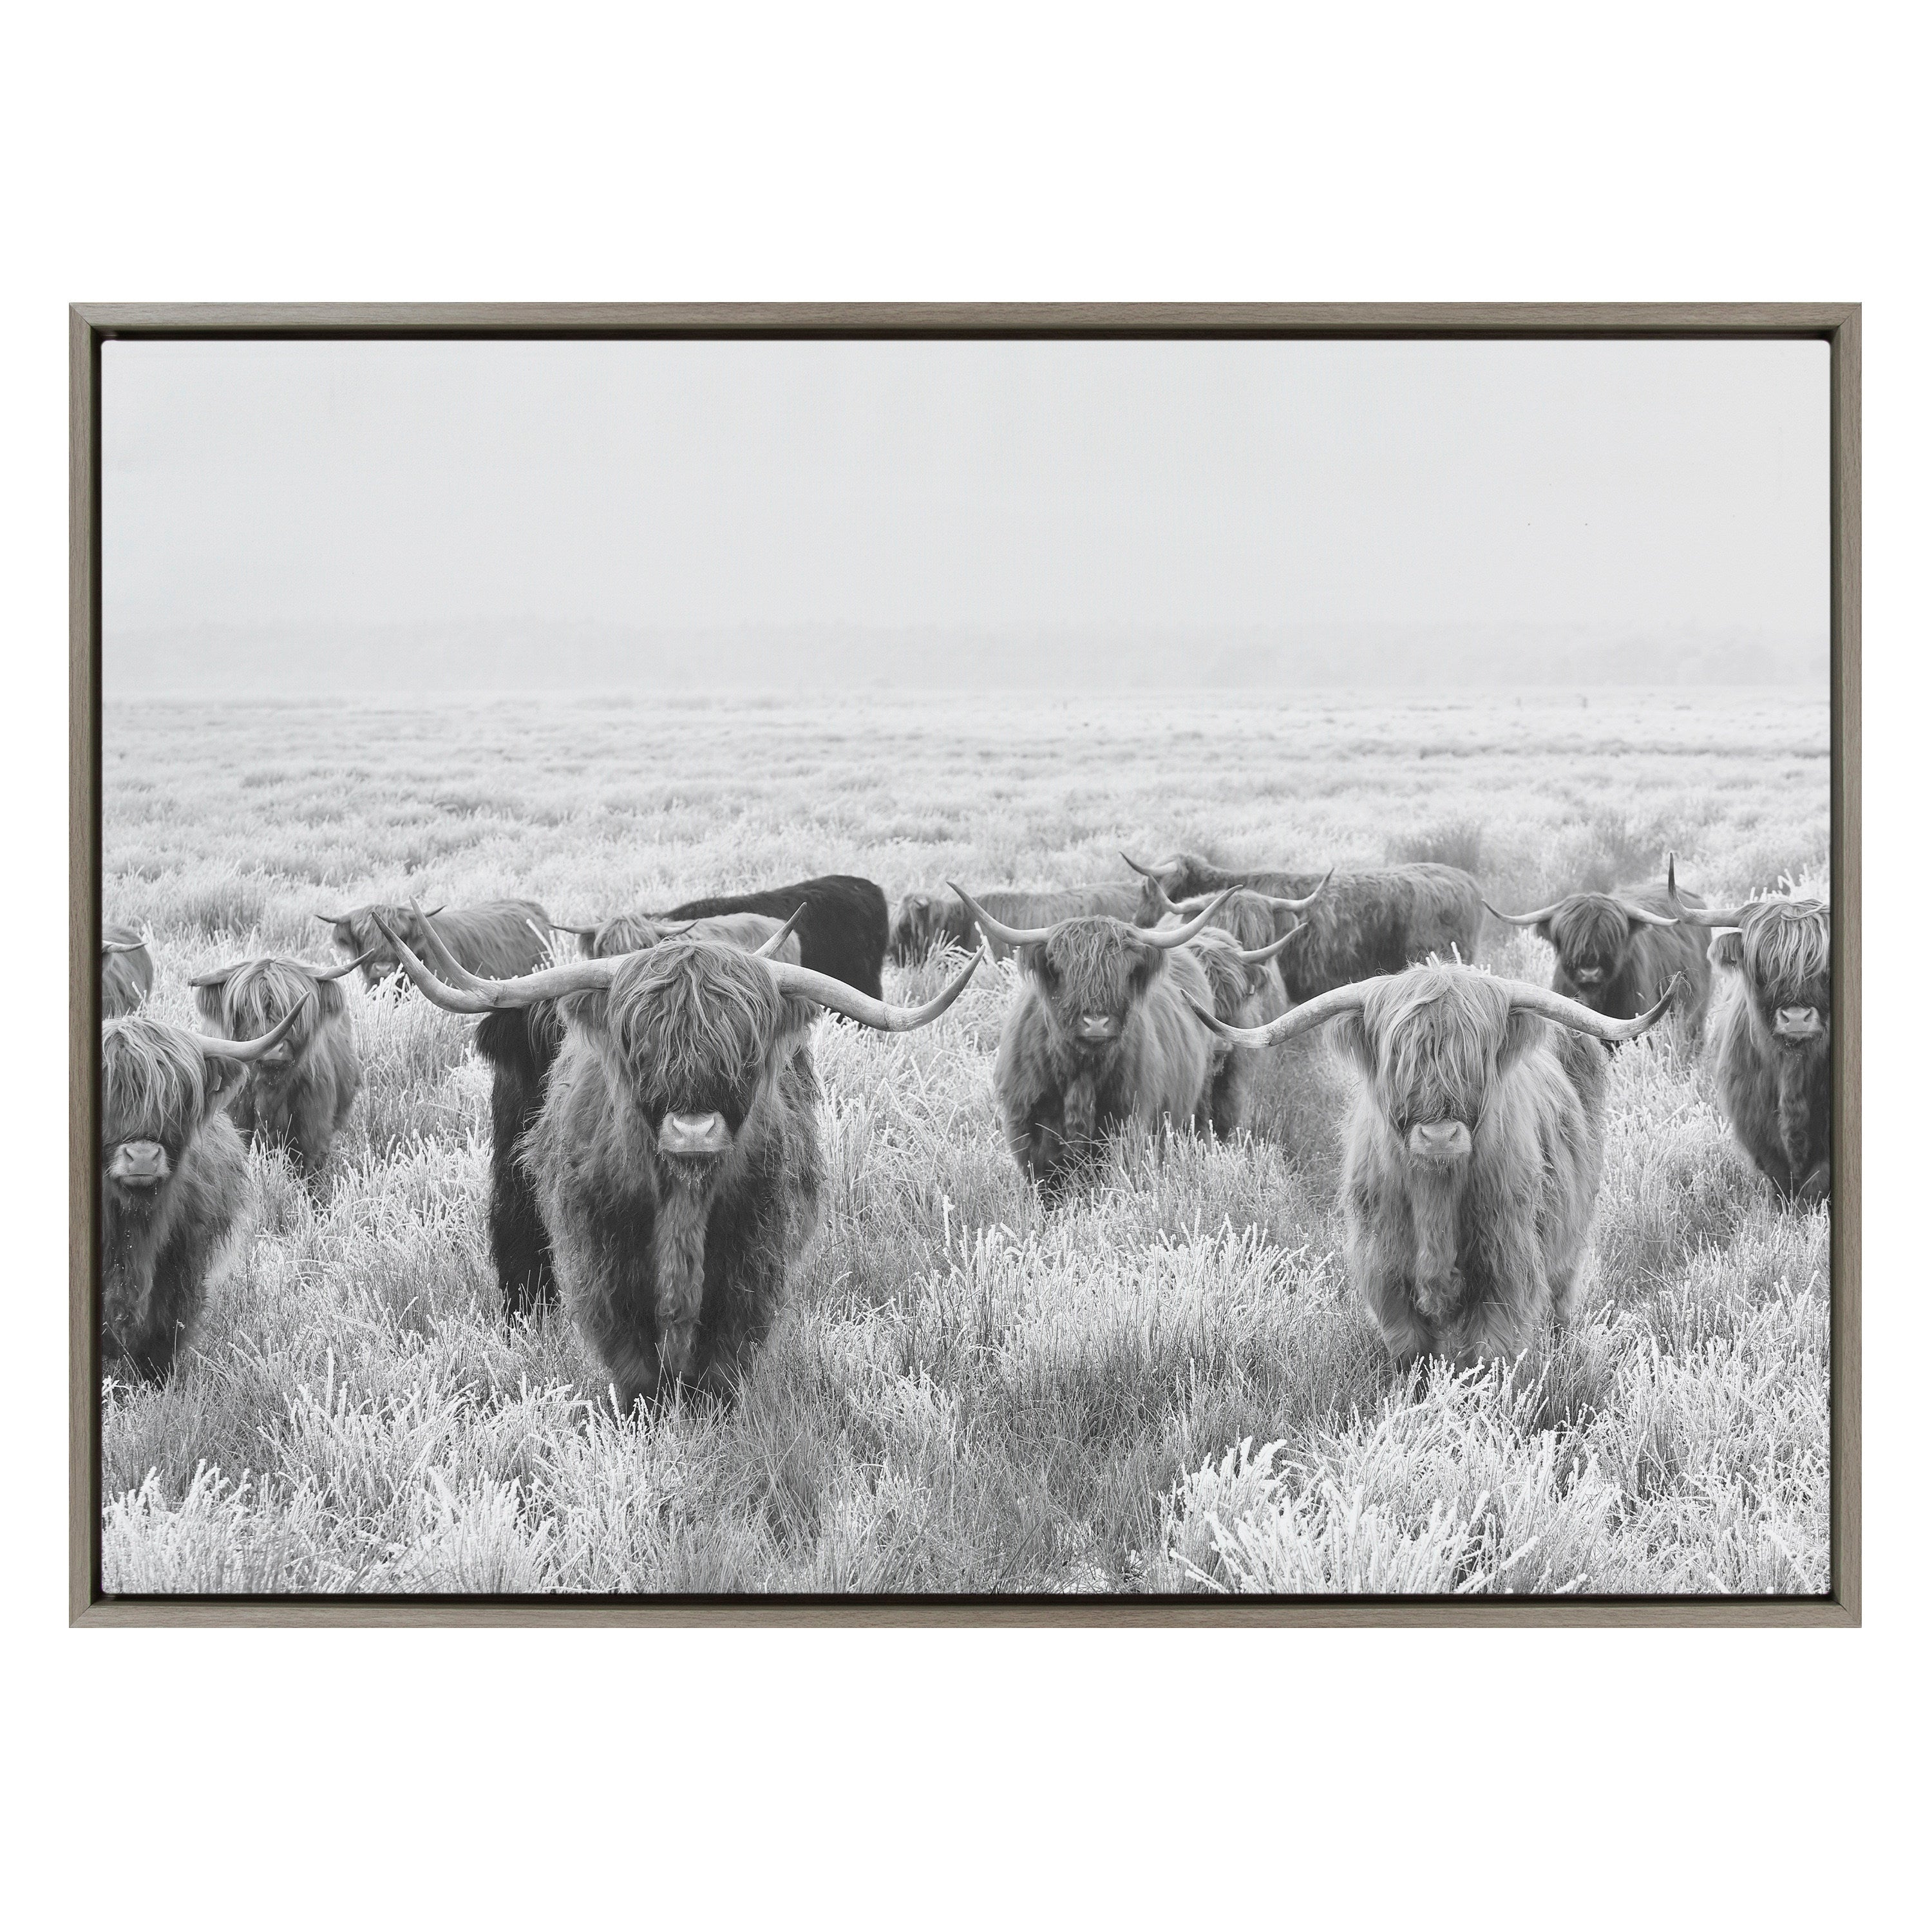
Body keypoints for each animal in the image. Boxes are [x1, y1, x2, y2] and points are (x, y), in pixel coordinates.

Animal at [952, 884, 1236, 1197]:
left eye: (1125, 971)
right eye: (1061, 969)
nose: (1096, 1023)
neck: (1081, 1072)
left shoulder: (1126, 1125)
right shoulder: (1031, 1132)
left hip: (1196, 1105)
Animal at [1194, 964, 1681, 1369]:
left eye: (1477, 1057)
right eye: (1398, 1057)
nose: (1440, 1137)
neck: (1436, 1197)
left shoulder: (1506, 1272)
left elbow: (1488, 1360)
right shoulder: (1387, 1276)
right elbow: (1414, 1358)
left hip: (1569, 1244)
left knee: (1561, 1304)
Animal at [1669, 872, 1831, 1205]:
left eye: (1822, 965)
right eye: (1763, 965)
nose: (1796, 1018)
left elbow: (1815, 1185)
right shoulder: (1756, 1130)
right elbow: (1782, 1184)